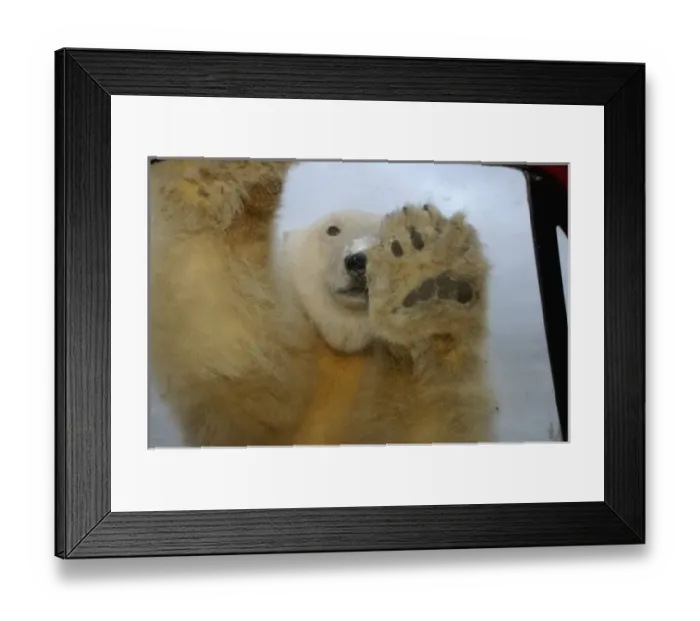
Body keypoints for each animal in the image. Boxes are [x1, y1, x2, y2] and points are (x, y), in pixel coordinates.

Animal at [148, 158, 495, 447]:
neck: (343, 340)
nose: (359, 262)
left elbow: (429, 421)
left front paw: (425, 270)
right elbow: (237, 362)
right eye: (332, 229)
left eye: (382, 237)